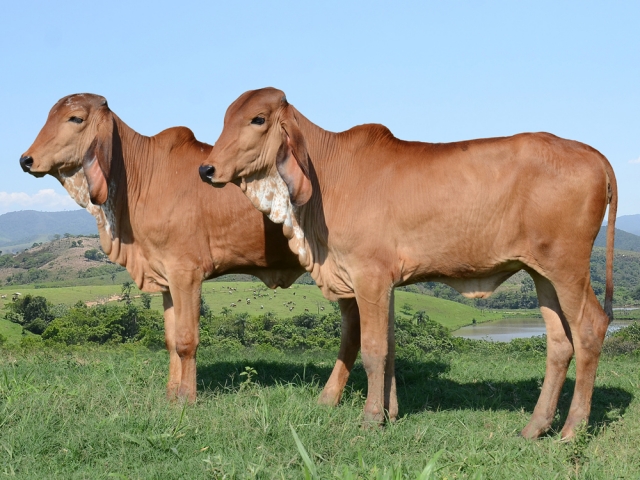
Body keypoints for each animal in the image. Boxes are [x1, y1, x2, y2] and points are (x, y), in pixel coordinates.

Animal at [19, 93, 362, 404]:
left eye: (75, 119)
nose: (26, 159)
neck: (140, 180)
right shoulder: (166, 279)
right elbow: (171, 341)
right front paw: (171, 395)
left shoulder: (186, 273)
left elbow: (186, 340)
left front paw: (187, 398)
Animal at [199, 87, 617, 440]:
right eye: (226, 118)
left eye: (258, 119)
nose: (206, 169)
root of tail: (594, 154)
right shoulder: (386, 283)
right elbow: (389, 346)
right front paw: (390, 412)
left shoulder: (369, 276)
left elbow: (373, 350)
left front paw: (370, 419)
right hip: (541, 274)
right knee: (559, 342)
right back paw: (535, 427)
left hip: (568, 267)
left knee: (590, 328)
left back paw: (572, 429)